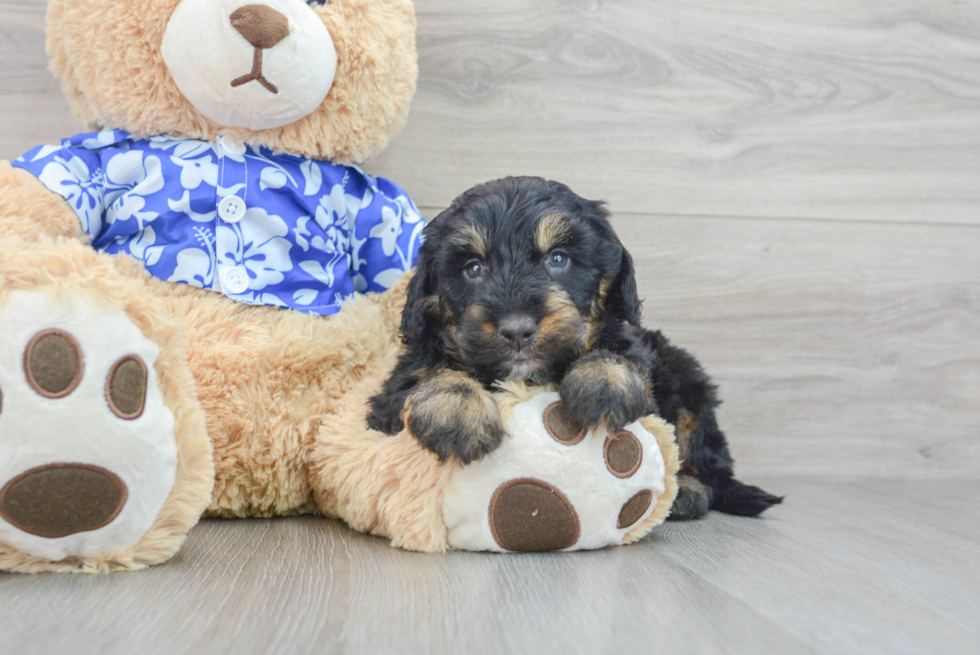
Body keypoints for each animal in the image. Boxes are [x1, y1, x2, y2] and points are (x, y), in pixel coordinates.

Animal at [368, 177, 780, 520]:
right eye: (473, 268)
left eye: (558, 259)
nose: (516, 329)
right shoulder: (396, 386)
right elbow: (426, 374)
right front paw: (457, 406)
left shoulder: (636, 352)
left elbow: (619, 353)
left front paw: (604, 378)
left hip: (687, 383)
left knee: (703, 457)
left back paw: (687, 492)